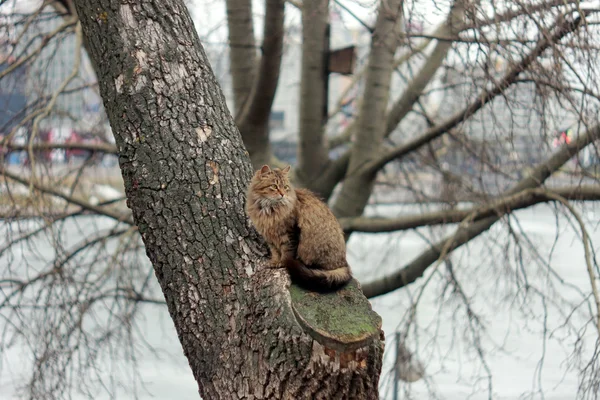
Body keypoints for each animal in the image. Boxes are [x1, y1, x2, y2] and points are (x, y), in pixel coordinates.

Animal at [246, 164, 354, 292]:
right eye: (274, 186)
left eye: (285, 187)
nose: (282, 194)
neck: (268, 210)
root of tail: (344, 263)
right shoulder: (269, 236)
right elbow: (275, 251)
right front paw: (274, 262)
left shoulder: (289, 232)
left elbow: (287, 252)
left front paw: (282, 263)